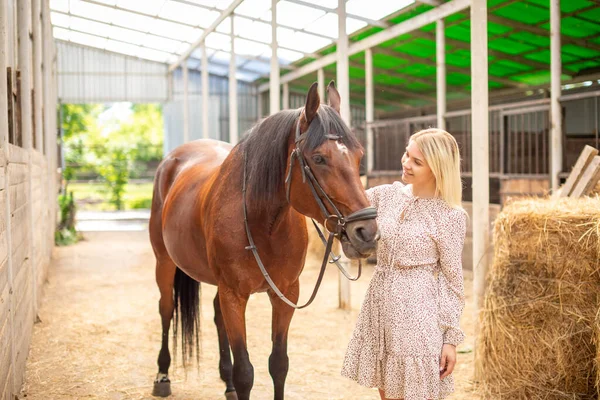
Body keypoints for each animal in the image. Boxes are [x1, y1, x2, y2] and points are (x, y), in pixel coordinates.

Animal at [148, 82, 378, 400]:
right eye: (319, 158)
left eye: (359, 156)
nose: (366, 232)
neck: (263, 223)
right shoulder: (234, 294)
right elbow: (245, 372)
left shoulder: (286, 293)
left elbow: (278, 364)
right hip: (165, 262)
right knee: (166, 308)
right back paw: (162, 375)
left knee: (216, 316)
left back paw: (226, 383)